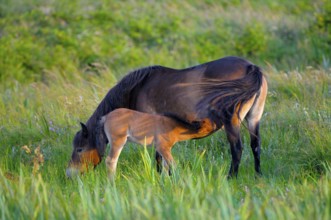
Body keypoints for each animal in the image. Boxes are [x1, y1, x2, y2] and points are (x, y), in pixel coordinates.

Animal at [66, 55, 268, 178]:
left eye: (80, 149)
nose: (69, 174)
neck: (139, 87)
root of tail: (251, 67)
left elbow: (158, 156)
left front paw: (159, 176)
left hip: (232, 122)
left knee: (237, 149)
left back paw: (230, 178)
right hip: (254, 119)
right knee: (255, 146)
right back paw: (258, 175)